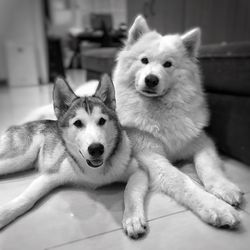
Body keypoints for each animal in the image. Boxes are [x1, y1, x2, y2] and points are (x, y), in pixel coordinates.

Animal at [0, 74, 148, 238]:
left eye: (102, 121)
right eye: (77, 123)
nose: (96, 149)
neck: (95, 173)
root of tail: (22, 124)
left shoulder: (138, 171)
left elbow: (131, 192)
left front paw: (132, 218)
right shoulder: (52, 173)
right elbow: (27, 198)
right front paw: (5, 214)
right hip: (18, 158)